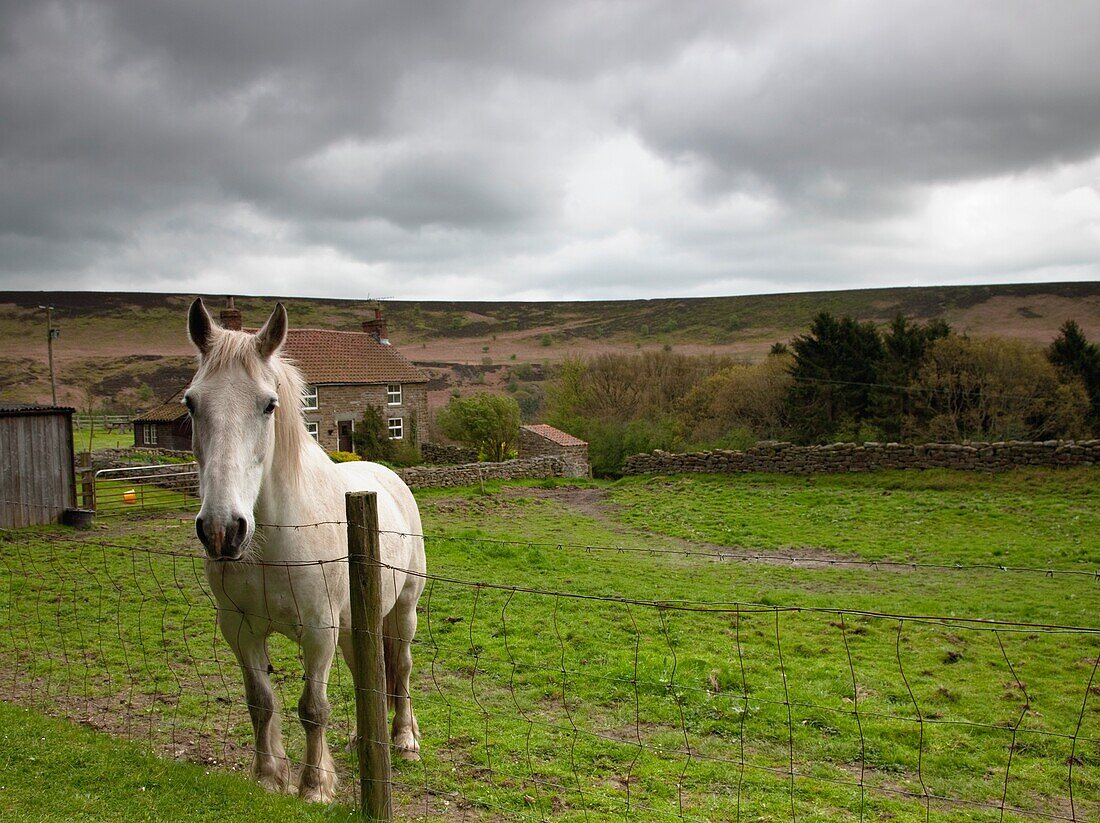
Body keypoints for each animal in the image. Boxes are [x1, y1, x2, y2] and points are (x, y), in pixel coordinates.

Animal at [184, 299, 424, 800]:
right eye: (191, 402)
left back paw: (404, 739)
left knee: (403, 667)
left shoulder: (318, 631)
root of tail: (389, 476)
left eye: (268, 405)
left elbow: (313, 708)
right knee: (367, 675)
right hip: (356, 625)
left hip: (403, 611)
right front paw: (268, 777)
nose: (222, 530)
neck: (272, 541)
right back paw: (364, 738)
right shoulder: (239, 629)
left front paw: (314, 786)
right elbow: (260, 702)